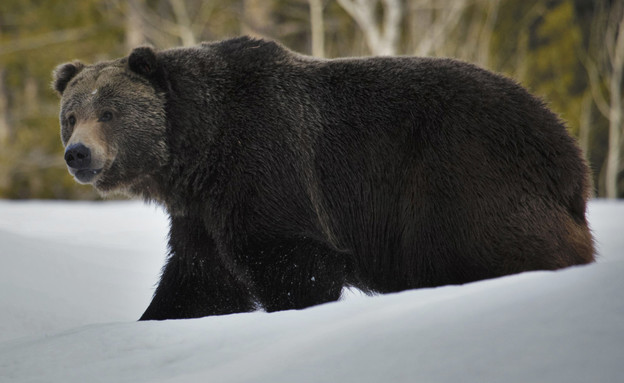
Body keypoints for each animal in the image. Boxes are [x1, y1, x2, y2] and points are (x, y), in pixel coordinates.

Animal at [52, 37, 596, 322]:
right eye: (71, 115)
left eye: (109, 112)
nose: (77, 153)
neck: (197, 151)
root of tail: (570, 154)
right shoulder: (202, 212)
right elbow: (198, 280)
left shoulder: (265, 163)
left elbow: (294, 262)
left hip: (462, 177)